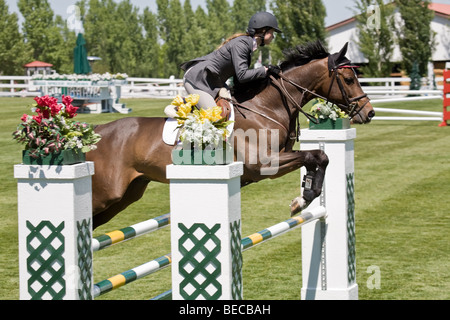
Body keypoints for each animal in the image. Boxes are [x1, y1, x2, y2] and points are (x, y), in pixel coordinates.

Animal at [87, 41, 372, 229]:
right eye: (349, 79)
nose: (368, 113)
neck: (267, 106)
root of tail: (97, 131)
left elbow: (319, 157)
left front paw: (305, 195)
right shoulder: (263, 164)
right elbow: (314, 156)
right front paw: (301, 201)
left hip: (126, 195)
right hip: (108, 195)